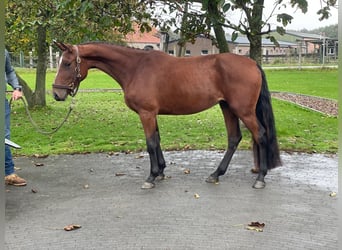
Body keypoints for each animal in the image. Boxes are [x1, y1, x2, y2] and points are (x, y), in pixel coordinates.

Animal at [51, 41, 280, 189]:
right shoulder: (153, 114)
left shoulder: (146, 113)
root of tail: (252, 64)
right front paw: (160, 171)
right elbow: (157, 140)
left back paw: (260, 178)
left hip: (243, 111)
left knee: (260, 135)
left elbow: (150, 142)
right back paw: (215, 175)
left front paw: (151, 177)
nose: (56, 93)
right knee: (234, 138)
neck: (135, 68)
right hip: (227, 108)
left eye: (67, 63)